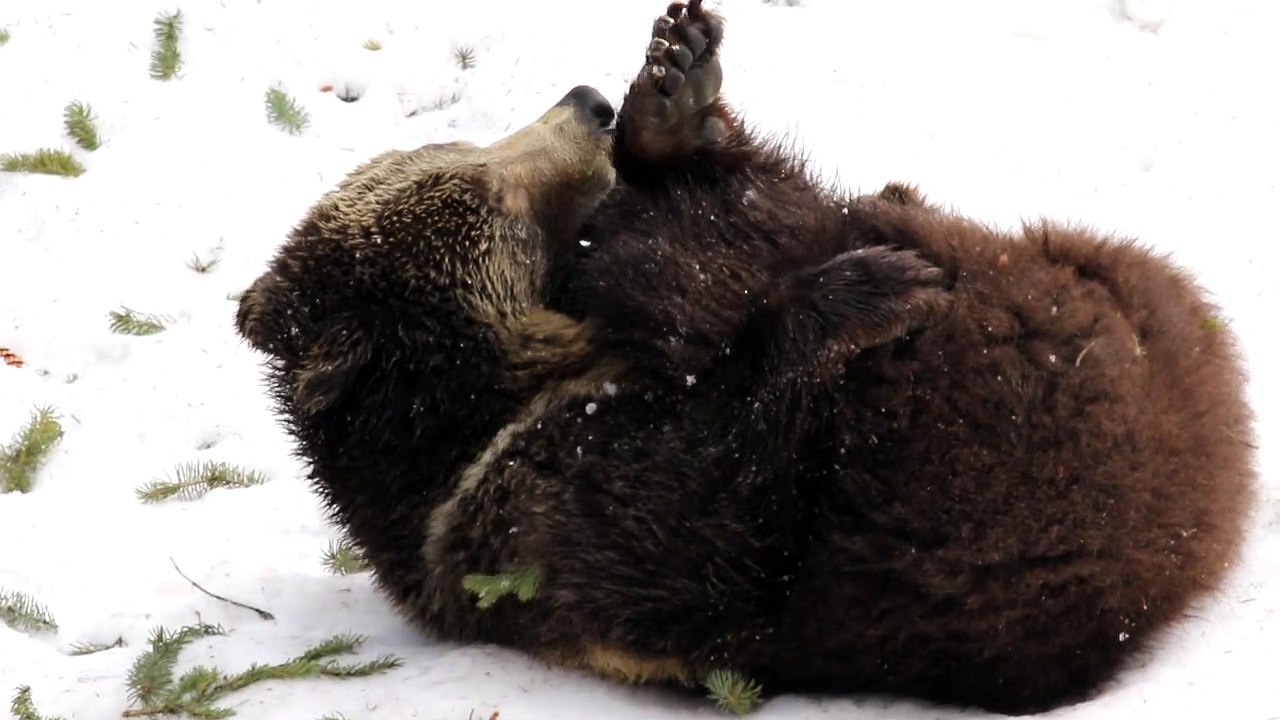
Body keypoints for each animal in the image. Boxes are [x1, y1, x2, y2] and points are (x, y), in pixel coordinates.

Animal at [236, 1, 1259, 716]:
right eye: (491, 192)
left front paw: (673, 90)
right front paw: (853, 292)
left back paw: (679, 106)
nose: (587, 105)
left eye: (462, 144)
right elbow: (727, 510)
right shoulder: (541, 514)